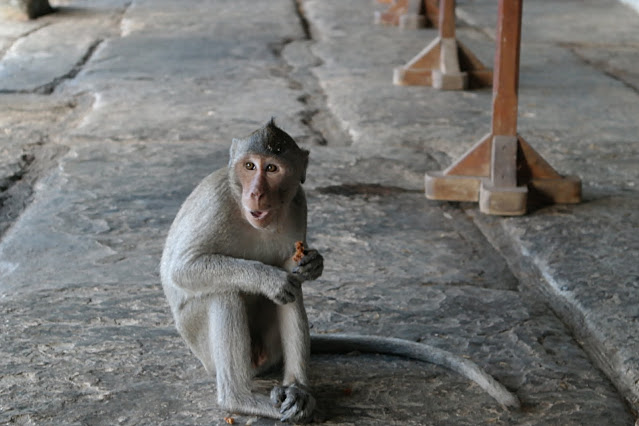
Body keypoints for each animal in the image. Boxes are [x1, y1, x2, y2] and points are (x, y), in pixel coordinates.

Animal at [160, 119, 520, 422]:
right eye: (249, 166)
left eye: (272, 168)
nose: (256, 192)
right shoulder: (217, 201)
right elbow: (183, 268)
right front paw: (269, 278)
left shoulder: (299, 202)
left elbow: (294, 272)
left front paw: (313, 263)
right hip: (202, 347)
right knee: (225, 292)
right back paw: (239, 399)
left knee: (290, 296)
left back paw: (297, 391)